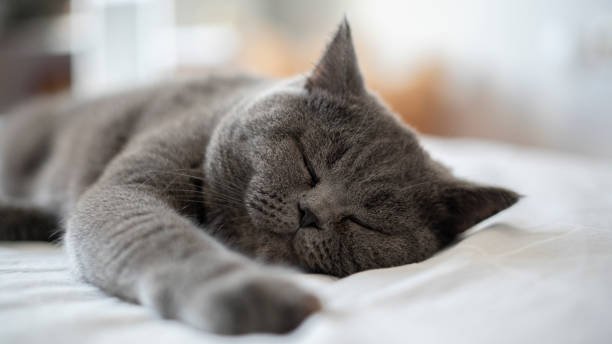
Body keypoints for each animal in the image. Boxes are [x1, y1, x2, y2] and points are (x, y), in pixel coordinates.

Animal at [0, 20, 520, 334]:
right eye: (307, 161)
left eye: (365, 221)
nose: (310, 213)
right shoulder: (130, 187)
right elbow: (166, 239)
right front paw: (251, 294)